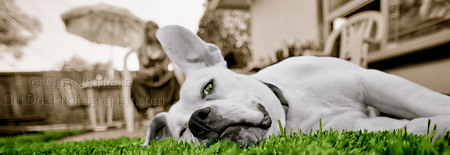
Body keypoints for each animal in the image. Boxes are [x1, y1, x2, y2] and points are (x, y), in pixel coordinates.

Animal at [141, 24, 450, 147]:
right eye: (182, 132)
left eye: (208, 87)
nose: (197, 121)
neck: (294, 108)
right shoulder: (366, 128)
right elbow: (421, 126)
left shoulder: (373, 81)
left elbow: (431, 104)